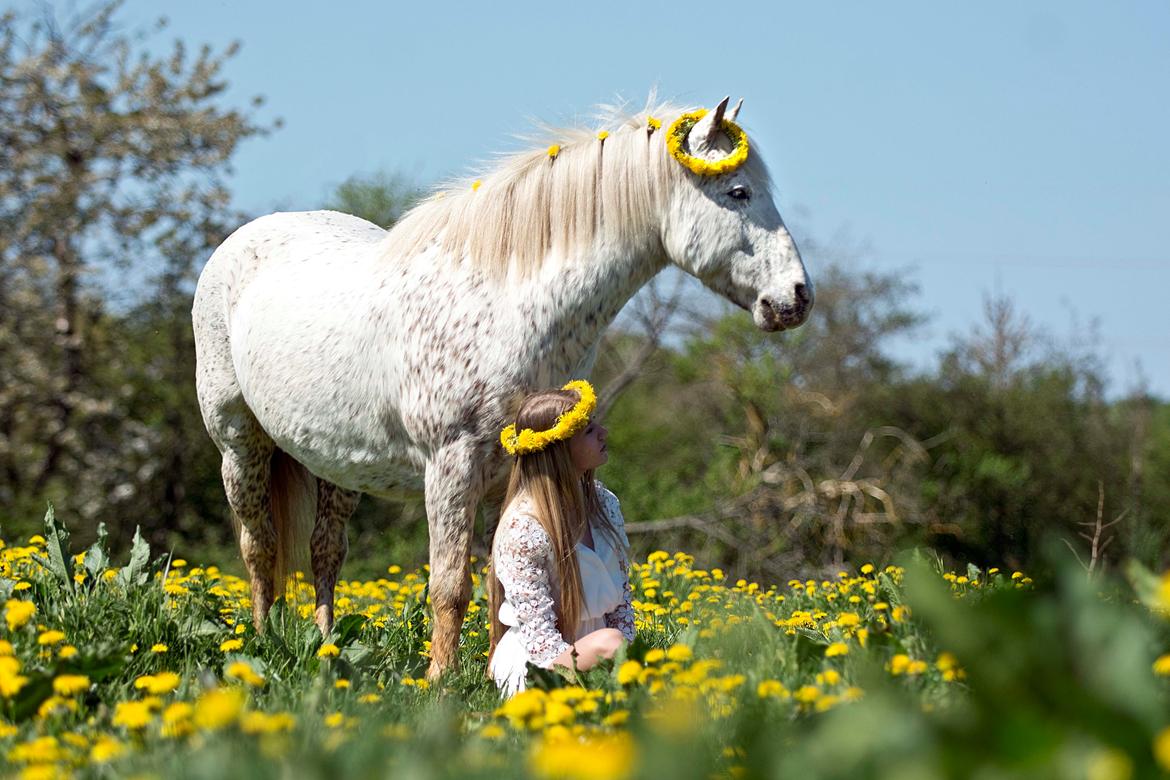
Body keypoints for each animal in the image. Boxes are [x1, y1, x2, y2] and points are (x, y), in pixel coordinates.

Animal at [194, 97, 814, 678]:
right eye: (738, 191)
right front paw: (440, 683)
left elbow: (506, 580)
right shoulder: (451, 467)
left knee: (325, 551)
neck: (508, 305)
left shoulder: (508, 471)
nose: (797, 299)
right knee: (259, 548)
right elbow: (450, 587)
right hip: (239, 447)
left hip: (336, 466)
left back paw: (326, 650)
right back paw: (263, 644)